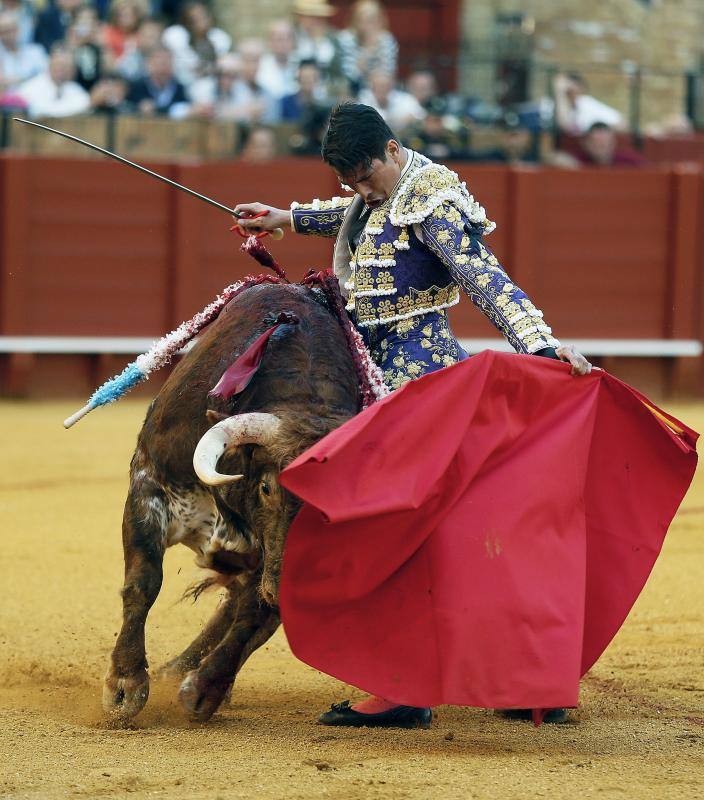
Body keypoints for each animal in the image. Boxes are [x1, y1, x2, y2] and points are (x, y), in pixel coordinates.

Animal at [102, 282, 360, 724]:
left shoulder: (269, 564)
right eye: (268, 489)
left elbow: (253, 615)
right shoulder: (148, 484)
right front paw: (125, 686)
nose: (290, 587)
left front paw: (203, 691)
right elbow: (144, 581)